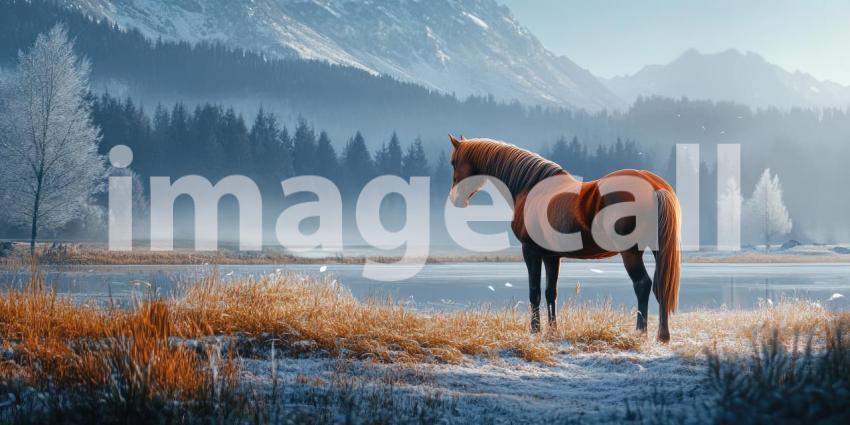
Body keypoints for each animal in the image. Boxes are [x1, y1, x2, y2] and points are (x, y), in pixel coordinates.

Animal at [446, 135, 681, 342]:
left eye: (453, 162)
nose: (455, 199)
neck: (530, 188)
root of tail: (653, 185)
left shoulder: (530, 250)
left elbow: (534, 292)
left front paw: (535, 330)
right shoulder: (552, 256)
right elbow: (551, 292)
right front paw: (553, 330)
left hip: (630, 251)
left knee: (642, 284)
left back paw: (640, 332)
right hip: (657, 250)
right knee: (661, 286)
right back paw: (663, 336)